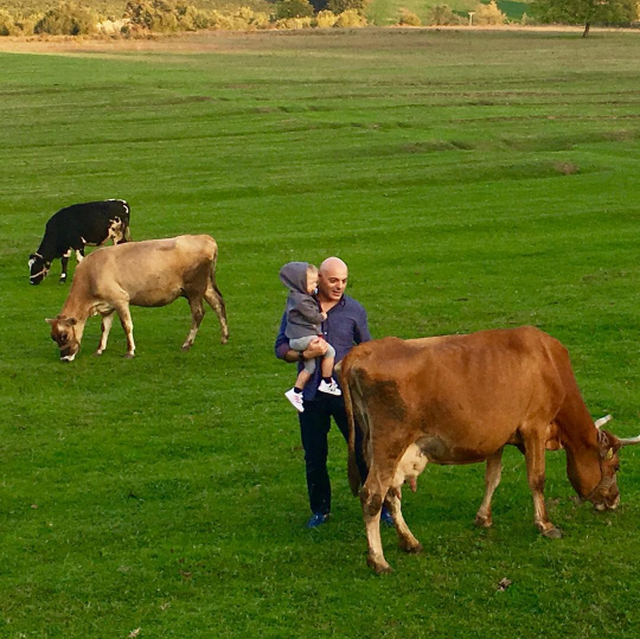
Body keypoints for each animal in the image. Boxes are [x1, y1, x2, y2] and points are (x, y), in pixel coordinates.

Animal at [45, 236, 230, 364]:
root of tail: (206, 238)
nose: (64, 359)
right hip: (206, 286)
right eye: (53, 337)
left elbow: (127, 326)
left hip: (194, 289)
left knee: (198, 313)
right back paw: (224, 337)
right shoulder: (108, 306)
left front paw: (130, 352)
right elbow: (105, 327)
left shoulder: (120, 299)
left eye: (64, 335)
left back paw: (187, 344)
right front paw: (99, 350)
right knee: (218, 304)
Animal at [342, 328, 640, 572]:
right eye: (616, 466)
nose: (615, 499)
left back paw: (409, 541)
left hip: (379, 447)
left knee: (391, 492)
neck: (550, 364)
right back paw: (378, 561)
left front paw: (483, 518)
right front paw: (545, 525)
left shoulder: (498, 436)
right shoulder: (535, 426)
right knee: (373, 495)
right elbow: (537, 479)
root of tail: (364, 350)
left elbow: (492, 478)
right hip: (390, 442)